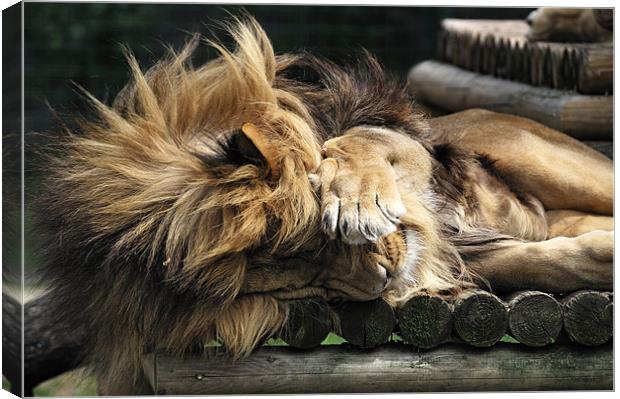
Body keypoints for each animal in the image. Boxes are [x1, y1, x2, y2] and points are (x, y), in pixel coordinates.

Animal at [40, 16, 616, 394]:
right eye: (310, 289)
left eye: (322, 235)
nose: (384, 278)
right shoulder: (472, 255)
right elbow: (543, 260)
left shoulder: (403, 143)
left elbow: (354, 144)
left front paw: (356, 200)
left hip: (527, 150)